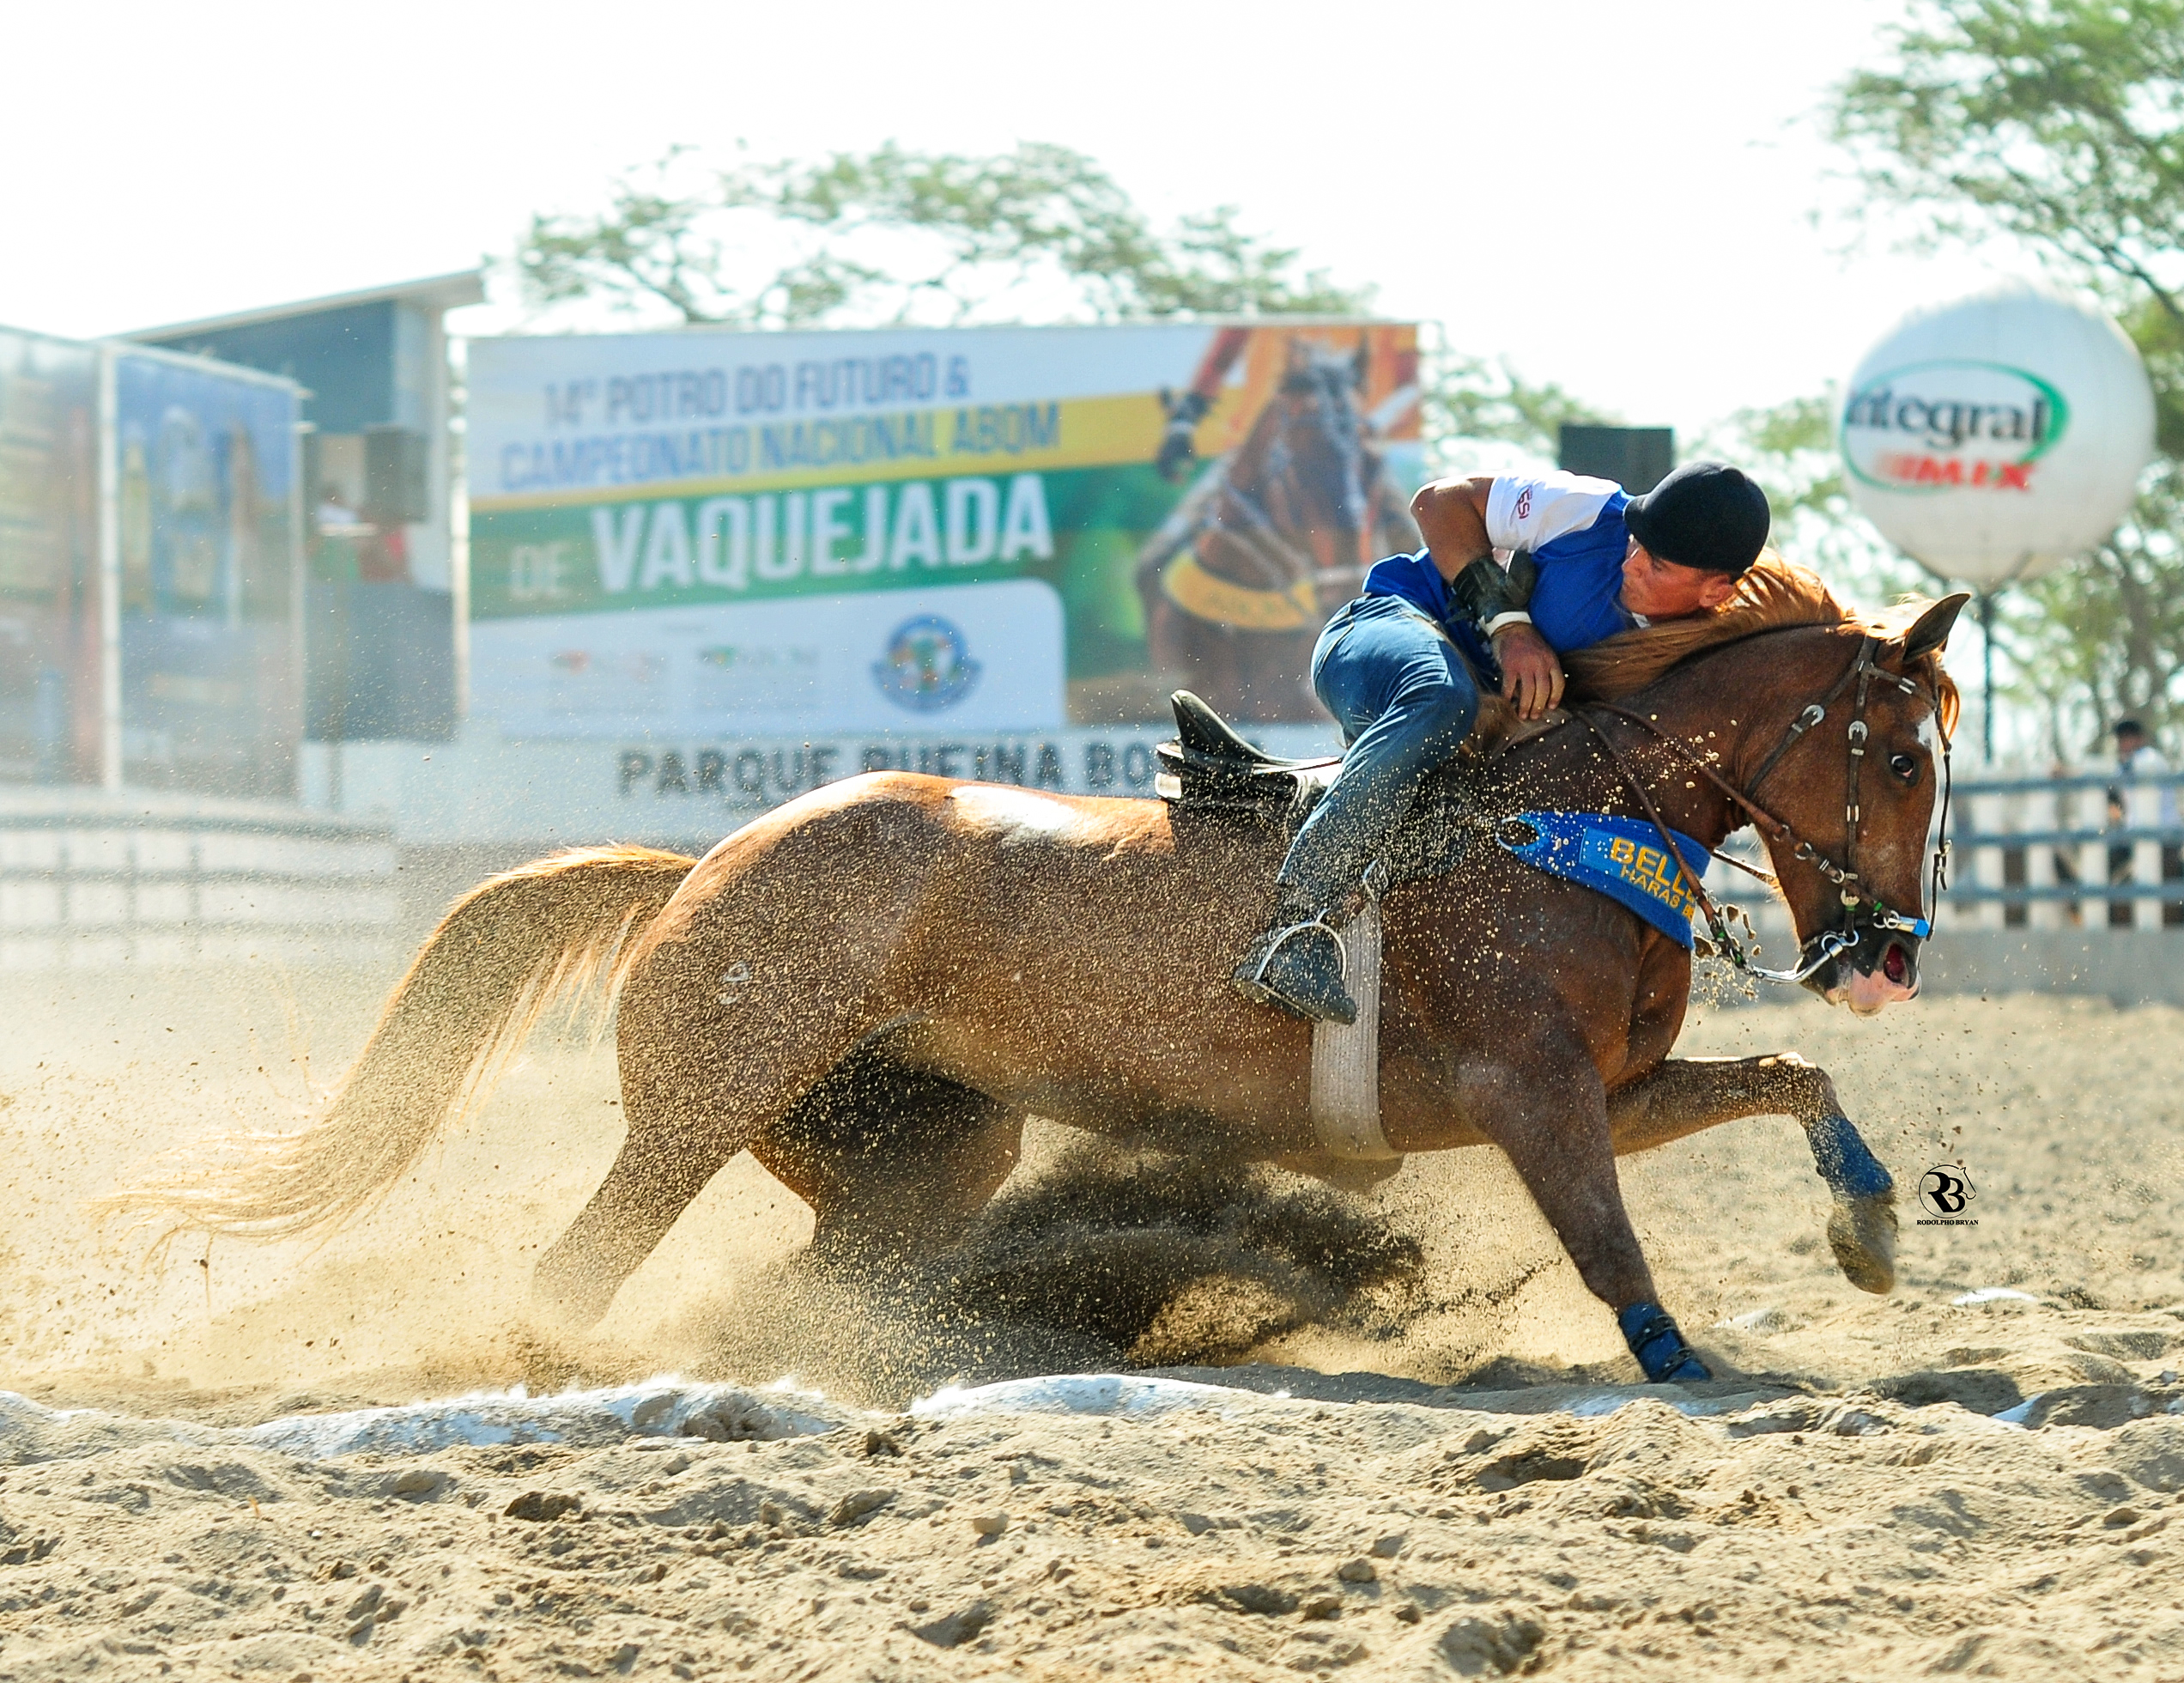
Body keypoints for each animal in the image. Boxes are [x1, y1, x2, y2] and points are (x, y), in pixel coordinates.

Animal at [111, 594, 1974, 1381]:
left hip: (920, 1151)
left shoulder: (1618, 1086)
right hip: (690, 1120)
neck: (1552, 811)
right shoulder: (1536, 1098)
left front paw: (1873, 1233)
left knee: (827, 1287)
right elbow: (1606, 1239)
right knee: (573, 1273)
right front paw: (1680, 1361)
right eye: (1892, 748)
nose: (1885, 948)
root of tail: (693, 869)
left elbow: (1793, 1082)